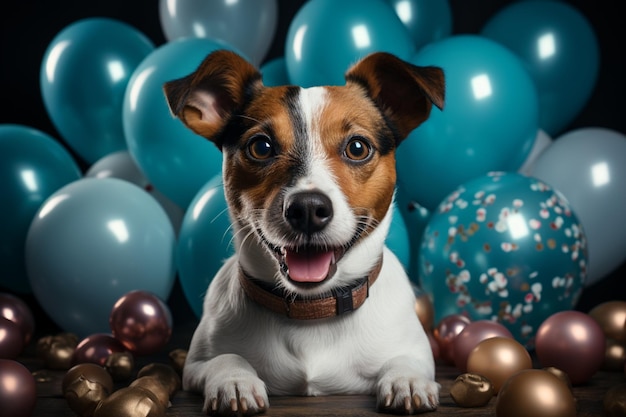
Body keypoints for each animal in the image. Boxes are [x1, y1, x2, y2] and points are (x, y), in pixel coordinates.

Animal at [163, 48, 442, 412]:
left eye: (357, 147)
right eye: (261, 147)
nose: (308, 209)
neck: (311, 311)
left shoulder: (417, 352)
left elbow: (408, 361)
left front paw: (406, 380)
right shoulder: (196, 364)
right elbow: (224, 358)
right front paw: (234, 382)